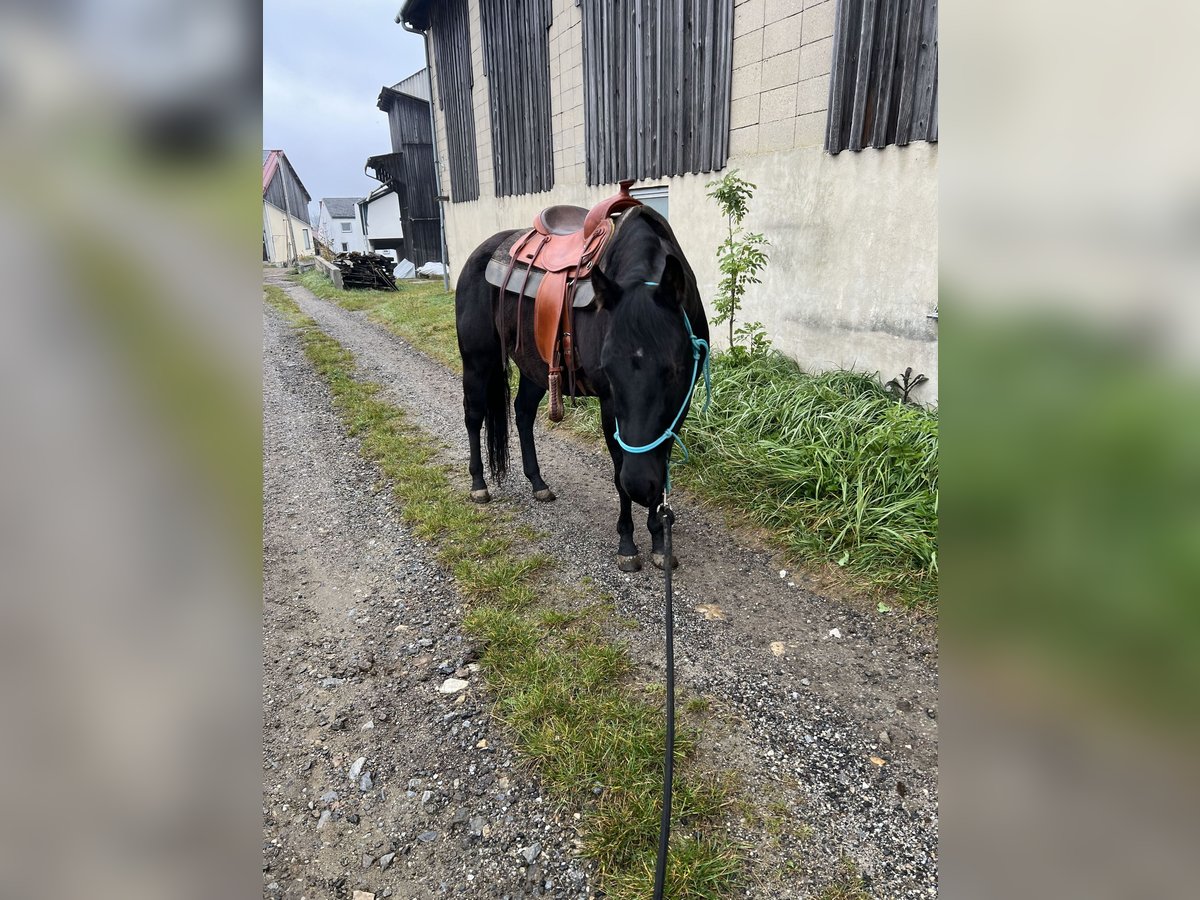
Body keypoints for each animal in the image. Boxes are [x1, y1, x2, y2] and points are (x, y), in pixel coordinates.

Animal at [453, 206, 705, 571]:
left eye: (674, 370)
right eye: (608, 370)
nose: (639, 484)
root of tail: (480, 252)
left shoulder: (677, 410)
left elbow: (660, 463)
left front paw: (659, 540)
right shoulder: (610, 407)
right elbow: (618, 470)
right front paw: (627, 544)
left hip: (534, 368)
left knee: (523, 414)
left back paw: (538, 483)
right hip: (477, 359)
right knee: (474, 416)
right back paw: (478, 484)